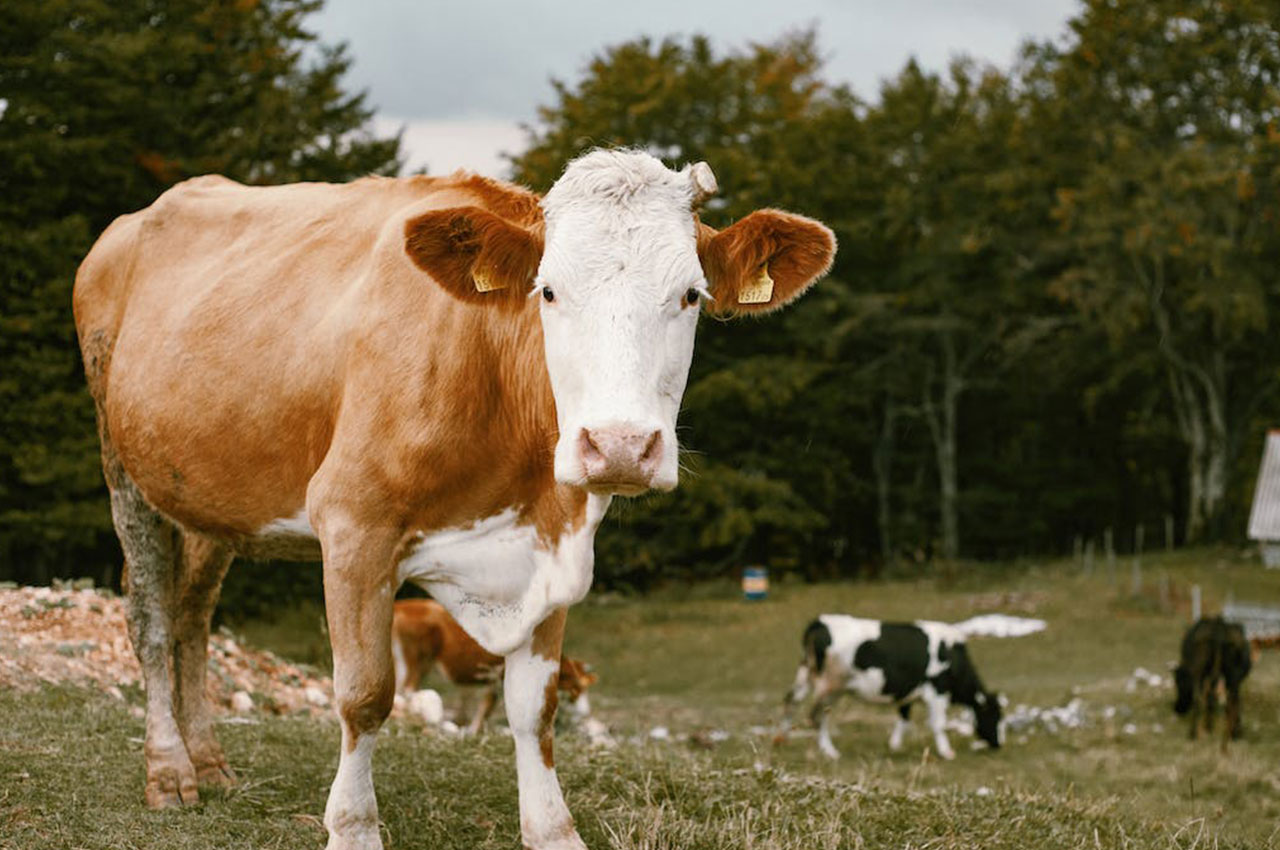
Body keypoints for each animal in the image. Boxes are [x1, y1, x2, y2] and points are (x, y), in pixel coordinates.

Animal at [391, 593, 596, 732]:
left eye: (585, 688)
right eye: (575, 689)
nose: (586, 713)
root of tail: (401, 606)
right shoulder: (499, 677)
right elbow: (488, 709)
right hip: (416, 662)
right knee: (407, 691)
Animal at [778, 614, 998, 757]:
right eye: (994, 716)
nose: (998, 744)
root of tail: (819, 622)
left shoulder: (909, 692)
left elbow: (904, 718)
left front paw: (895, 745)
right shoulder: (937, 689)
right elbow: (938, 723)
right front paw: (946, 752)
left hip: (806, 674)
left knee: (791, 701)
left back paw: (782, 739)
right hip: (831, 686)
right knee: (818, 715)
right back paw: (829, 751)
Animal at [1172, 614, 1249, 747]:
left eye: (1179, 684)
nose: (1178, 709)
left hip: (1201, 674)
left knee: (1200, 699)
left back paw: (1194, 733)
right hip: (1232, 677)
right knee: (1232, 701)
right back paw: (1233, 734)